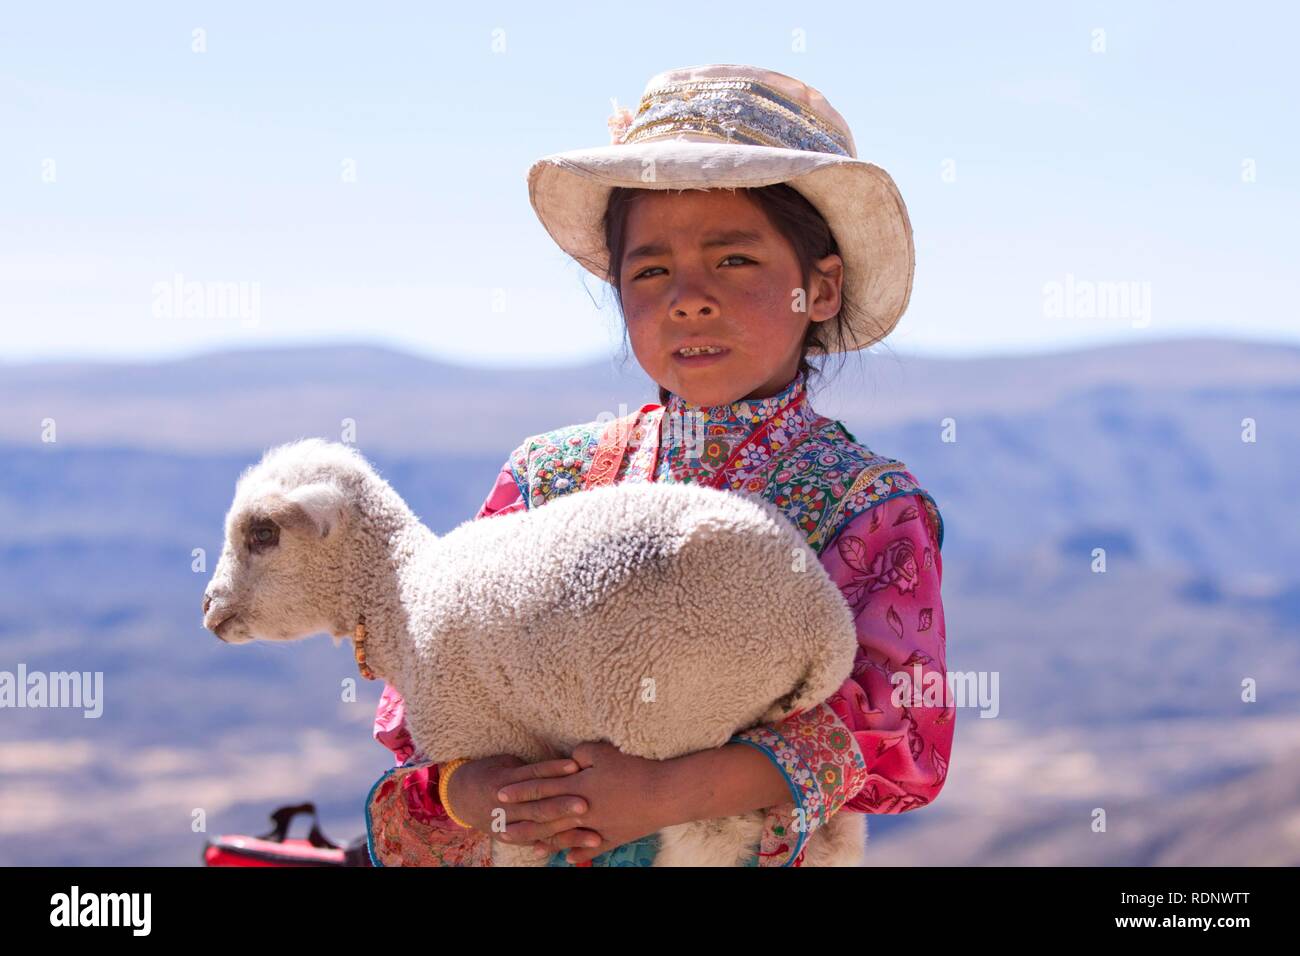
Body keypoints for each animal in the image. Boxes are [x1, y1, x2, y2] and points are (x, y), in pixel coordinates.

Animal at [200, 442, 863, 868]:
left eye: (262, 533)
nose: (208, 608)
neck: (400, 594)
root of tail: (826, 623)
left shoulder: (489, 746)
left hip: (681, 713)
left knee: (713, 836)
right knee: (833, 833)